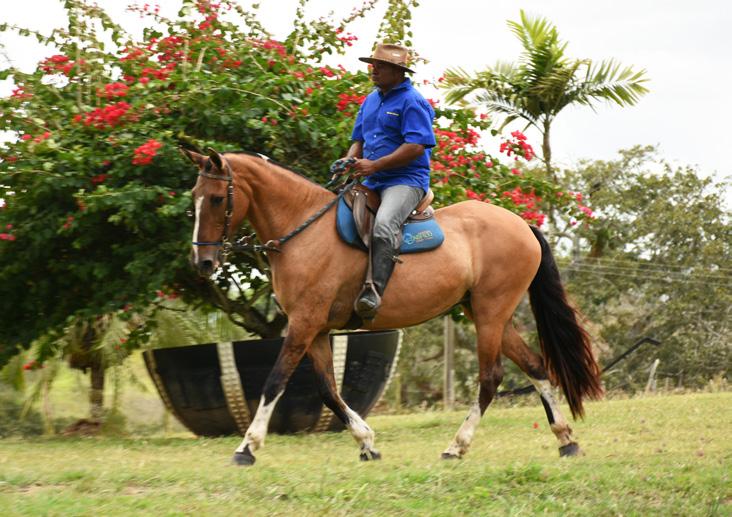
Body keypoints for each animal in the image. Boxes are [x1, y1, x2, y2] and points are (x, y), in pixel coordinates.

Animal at [183, 148, 600, 464]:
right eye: (193, 200)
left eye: (217, 199)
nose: (202, 263)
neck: (303, 231)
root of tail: (521, 224)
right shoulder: (315, 330)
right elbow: (327, 391)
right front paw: (366, 442)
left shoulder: (303, 324)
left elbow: (274, 382)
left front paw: (247, 447)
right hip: (490, 314)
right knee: (535, 366)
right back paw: (565, 439)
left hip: (490, 314)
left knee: (490, 377)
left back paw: (457, 446)